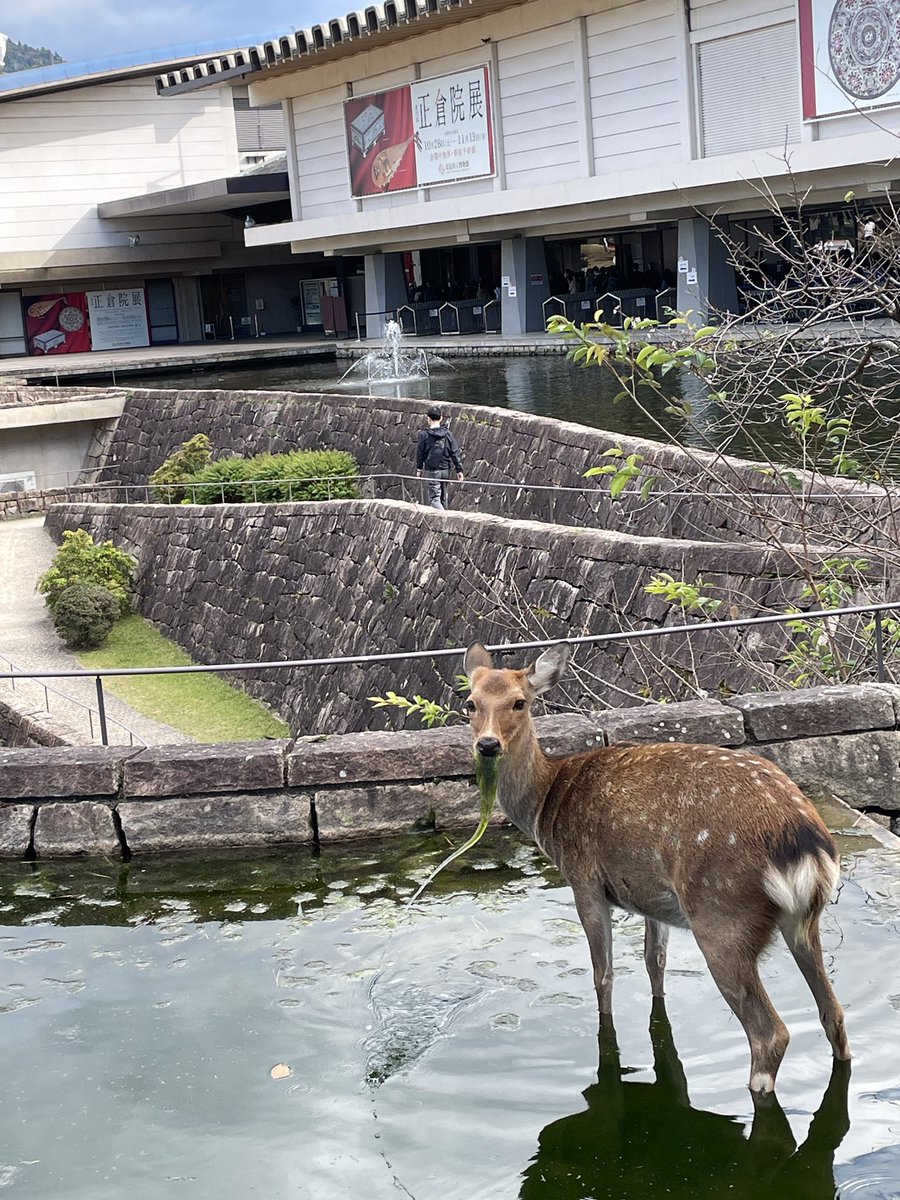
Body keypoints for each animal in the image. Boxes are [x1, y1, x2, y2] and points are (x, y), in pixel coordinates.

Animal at [463, 640, 851, 1094]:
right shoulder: (651, 898)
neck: (548, 804)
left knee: (770, 1033)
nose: (488, 745)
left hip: (722, 916)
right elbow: (654, 961)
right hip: (804, 921)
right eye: (470, 703)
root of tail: (805, 843)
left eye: (519, 702)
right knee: (833, 1012)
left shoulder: (584, 878)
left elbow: (603, 973)